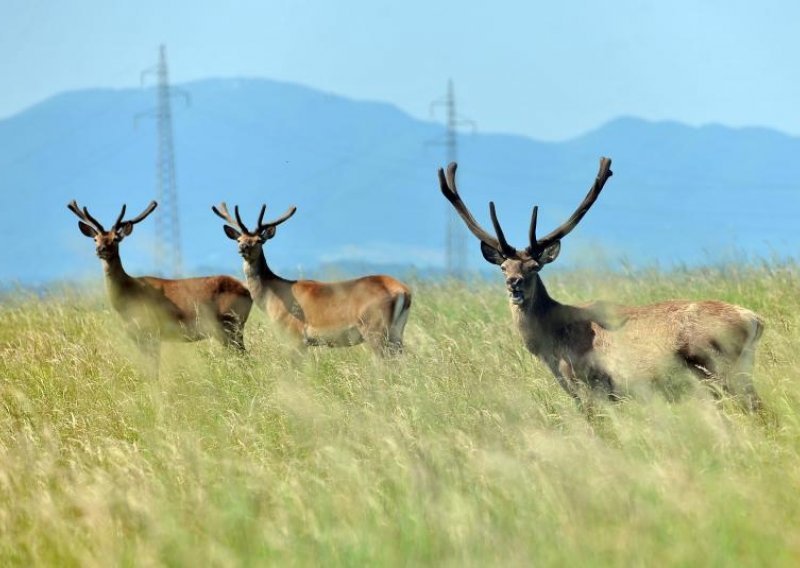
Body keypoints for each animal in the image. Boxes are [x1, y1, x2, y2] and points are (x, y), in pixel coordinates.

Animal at [67, 200, 252, 372]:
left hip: (231, 323)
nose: (100, 249)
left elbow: (153, 369)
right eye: (95, 239)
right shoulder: (137, 336)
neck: (127, 299)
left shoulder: (151, 331)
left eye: (116, 239)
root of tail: (246, 289)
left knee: (244, 355)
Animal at [212, 201, 412, 356]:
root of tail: (404, 291)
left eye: (259, 240)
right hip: (396, 333)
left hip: (375, 329)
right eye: (239, 239)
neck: (272, 299)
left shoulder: (294, 335)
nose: (243, 248)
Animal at [440, 158, 764, 410]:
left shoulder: (590, 385)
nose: (514, 284)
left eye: (534, 267)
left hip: (717, 367)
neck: (549, 346)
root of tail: (754, 320)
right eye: (503, 266)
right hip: (740, 370)